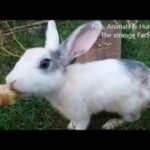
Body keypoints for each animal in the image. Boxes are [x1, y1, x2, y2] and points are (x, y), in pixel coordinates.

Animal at [5, 20, 150, 130]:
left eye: (44, 63)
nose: (9, 81)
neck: (63, 84)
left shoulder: (81, 115)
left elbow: (81, 125)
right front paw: (70, 126)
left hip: (128, 107)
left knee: (133, 118)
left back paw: (111, 123)